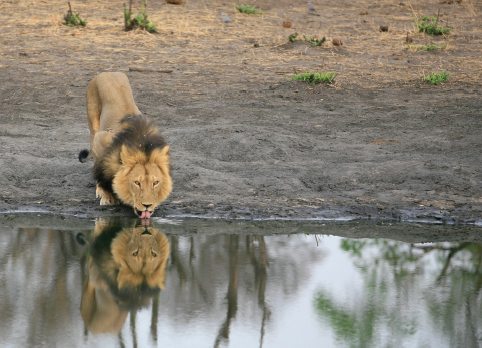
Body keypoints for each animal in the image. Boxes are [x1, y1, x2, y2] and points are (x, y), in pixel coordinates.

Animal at [80, 71, 174, 219]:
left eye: (155, 183)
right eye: (137, 183)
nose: (147, 205)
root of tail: (108, 72)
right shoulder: (101, 139)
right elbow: (102, 169)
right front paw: (108, 197)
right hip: (93, 123)